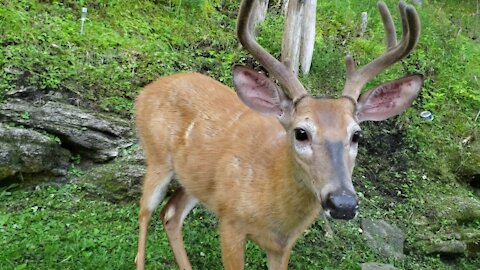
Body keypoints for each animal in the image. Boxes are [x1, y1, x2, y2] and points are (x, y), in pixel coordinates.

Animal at [133, 1, 422, 268]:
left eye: (356, 135)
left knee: (171, 213)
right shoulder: (230, 222)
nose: (343, 203)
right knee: (145, 211)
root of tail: (147, 90)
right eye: (301, 132)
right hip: (157, 156)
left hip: (195, 180)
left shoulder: (282, 246)